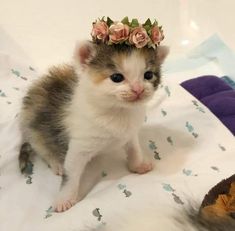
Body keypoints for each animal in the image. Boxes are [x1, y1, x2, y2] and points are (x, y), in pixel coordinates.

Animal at [18, 41, 169, 211]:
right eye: (117, 77)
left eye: (148, 75)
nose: (138, 89)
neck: (117, 112)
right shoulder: (79, 145)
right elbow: (71, 173)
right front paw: (64, 199)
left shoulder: (130, 132)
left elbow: (134, 148)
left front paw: (138, 165)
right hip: (33, 126)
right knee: (42, 147)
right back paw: (56, 163)